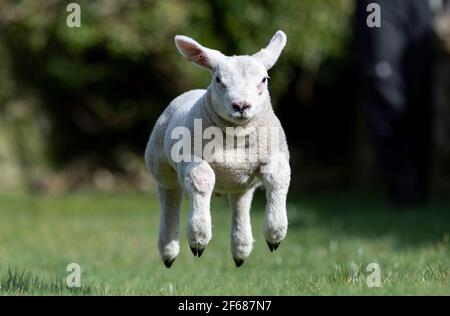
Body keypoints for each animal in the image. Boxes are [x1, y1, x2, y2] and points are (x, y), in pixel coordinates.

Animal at [145, 29, 292, 268]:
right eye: (218, 79)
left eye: (264, 80)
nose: (241, 105)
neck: (236, 138)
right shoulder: (191, 158)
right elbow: (202, 179)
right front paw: (198, 238)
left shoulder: (276, 154)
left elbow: (278, 176)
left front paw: (275, 235)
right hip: (161, 167)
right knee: (170, 197)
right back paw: (168, 251)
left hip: (241, 180)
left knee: (241, 202)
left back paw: (240, 251)